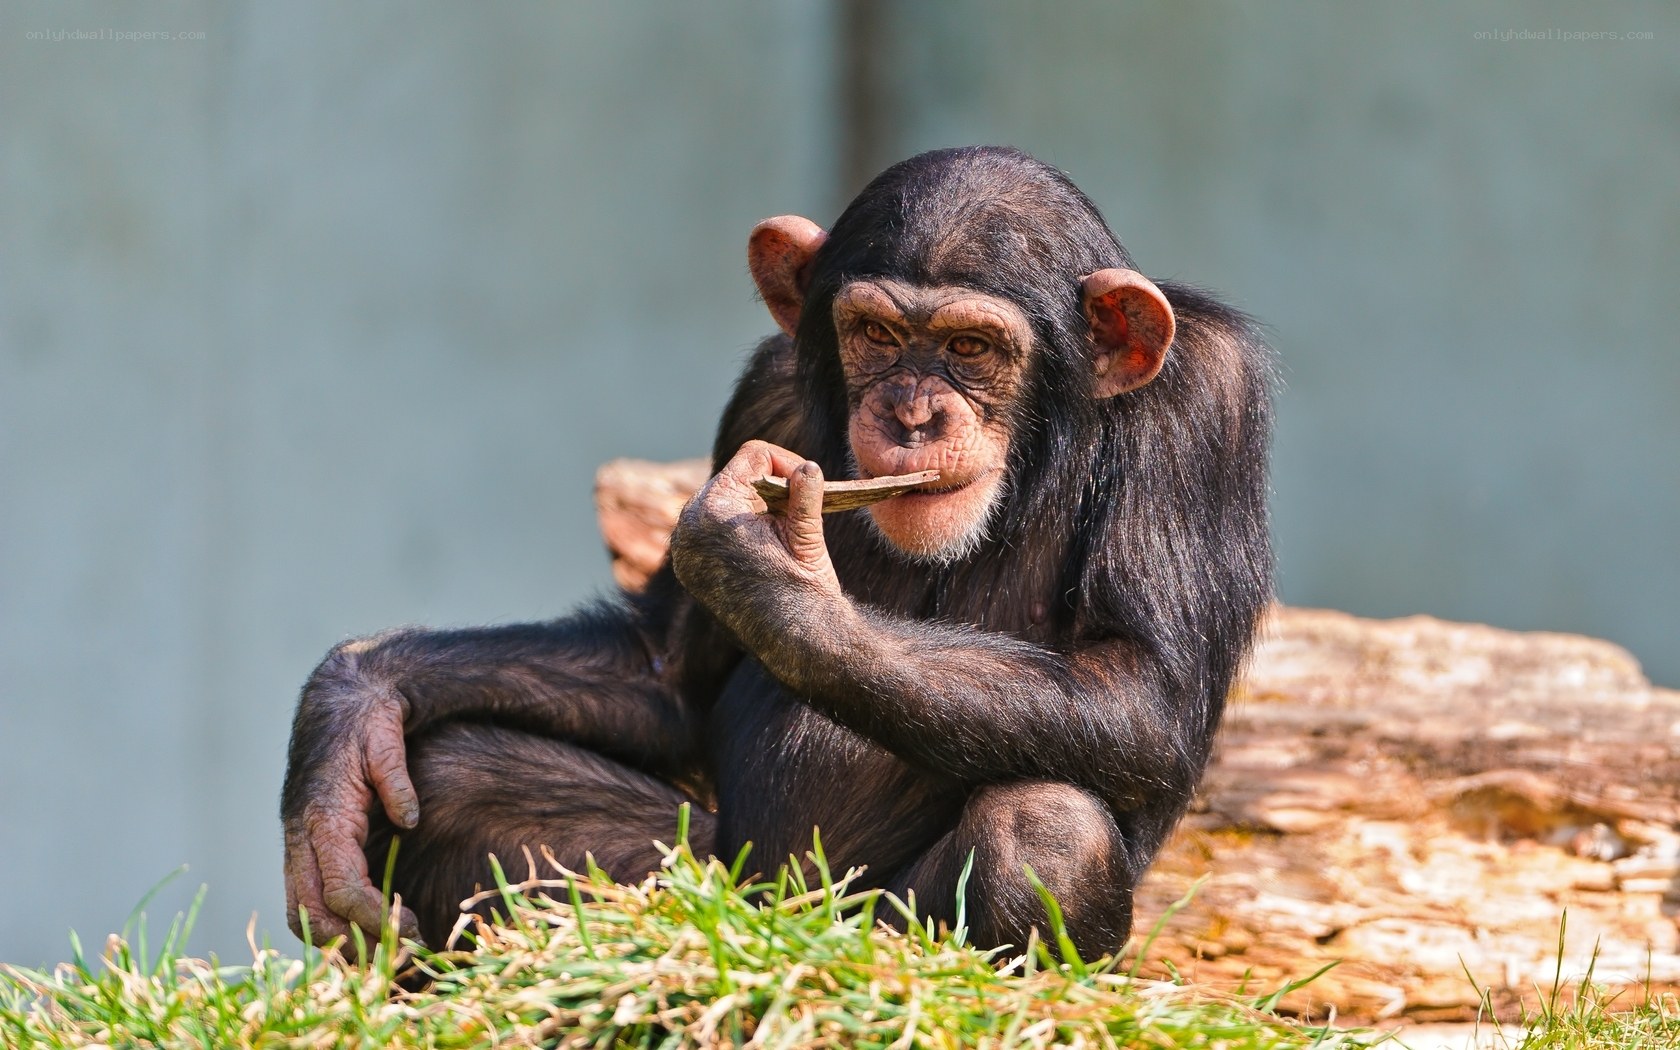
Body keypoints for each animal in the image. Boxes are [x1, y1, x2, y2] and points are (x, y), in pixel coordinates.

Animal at [281, 145, 1274, 958]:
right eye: (876, 334)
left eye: (970, 346)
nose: (913, 414)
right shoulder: (764, 397)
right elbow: (666, 669)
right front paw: (353, 702)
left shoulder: (1205, 407)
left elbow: (1140, 687)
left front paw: (767, 576)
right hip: (714, 878)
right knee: (451, 777)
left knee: (1047, 829)